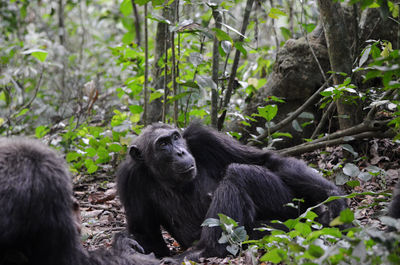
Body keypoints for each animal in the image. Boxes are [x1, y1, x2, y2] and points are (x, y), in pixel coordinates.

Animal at [117, 122, 348, 260]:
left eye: (175, 137)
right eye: (163, 143)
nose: (180, 152)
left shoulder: (205, 138)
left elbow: (266, 160)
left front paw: (334, 200)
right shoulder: (129, 179)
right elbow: (145, 233)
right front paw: (126, 245)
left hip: (291, 211)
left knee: (240, 172)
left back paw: (205, 249)